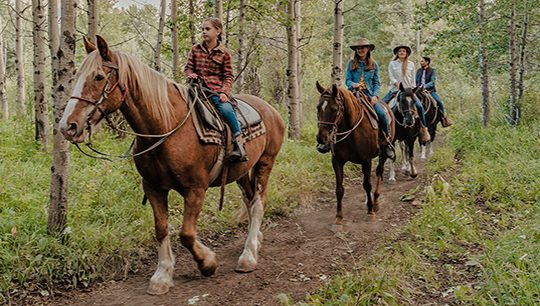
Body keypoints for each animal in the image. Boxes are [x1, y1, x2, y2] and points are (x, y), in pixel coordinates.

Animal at [58, 35, 286, 294]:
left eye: (98, 76)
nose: (68, 126)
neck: (165, 126)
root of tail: (270, 109)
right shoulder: (153, 188)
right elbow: (162, 229)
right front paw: (162, 276)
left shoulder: (195, 188)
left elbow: (186, 234)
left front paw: (208, 262)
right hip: (241, 172)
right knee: (249, 200)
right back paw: (253, 242)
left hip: (265, 163)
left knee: (258, 203)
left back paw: (248, 256)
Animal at [314, 81, 394, 227]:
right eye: (318, 108)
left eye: (334, 109)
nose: (321, 138)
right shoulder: (337, 161)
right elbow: (339, 189)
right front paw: (338, 217)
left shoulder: (366, 161)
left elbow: (367, 185)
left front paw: (370, 212)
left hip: (383, 153)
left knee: (379, 172)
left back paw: (375, 202)